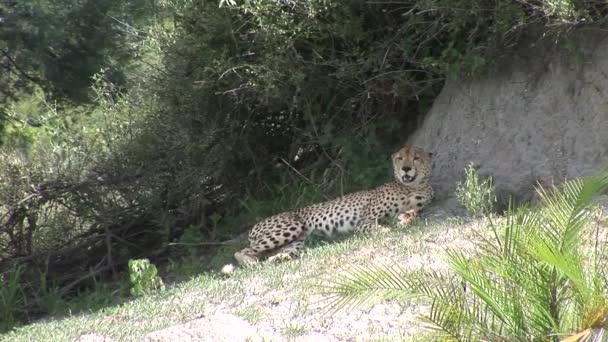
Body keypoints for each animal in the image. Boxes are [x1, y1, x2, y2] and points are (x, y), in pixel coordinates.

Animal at [233, 146, 432, 266]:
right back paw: (251, 262)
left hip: (297, 241)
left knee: (278, 252)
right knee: (241, 251)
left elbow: (412, 213)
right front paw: (389, 229)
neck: (411, 186)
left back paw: (277, 258)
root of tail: (254, 226)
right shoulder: (363, 222)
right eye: (400, 158)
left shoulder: (417, 205)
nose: (406, 168)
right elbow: (377, 227)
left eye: (416, 158)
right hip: (292, 226)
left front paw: (405, 220)